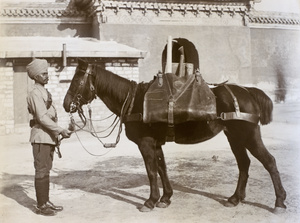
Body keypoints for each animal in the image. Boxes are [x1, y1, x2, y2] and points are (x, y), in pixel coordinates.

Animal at [63, 58, 286, 213]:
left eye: (76, 80)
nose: (66, 105)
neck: (135, 101)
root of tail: (247, 91)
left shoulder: (145, 143)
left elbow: (151, 171)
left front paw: (150, 201)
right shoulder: (156, 143)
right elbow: (162, 169)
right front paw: (165, 198)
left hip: (249, 136)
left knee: (269, 162)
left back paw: (279, 201)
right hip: (235, 138)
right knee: (244, 164)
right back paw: (235, 198)